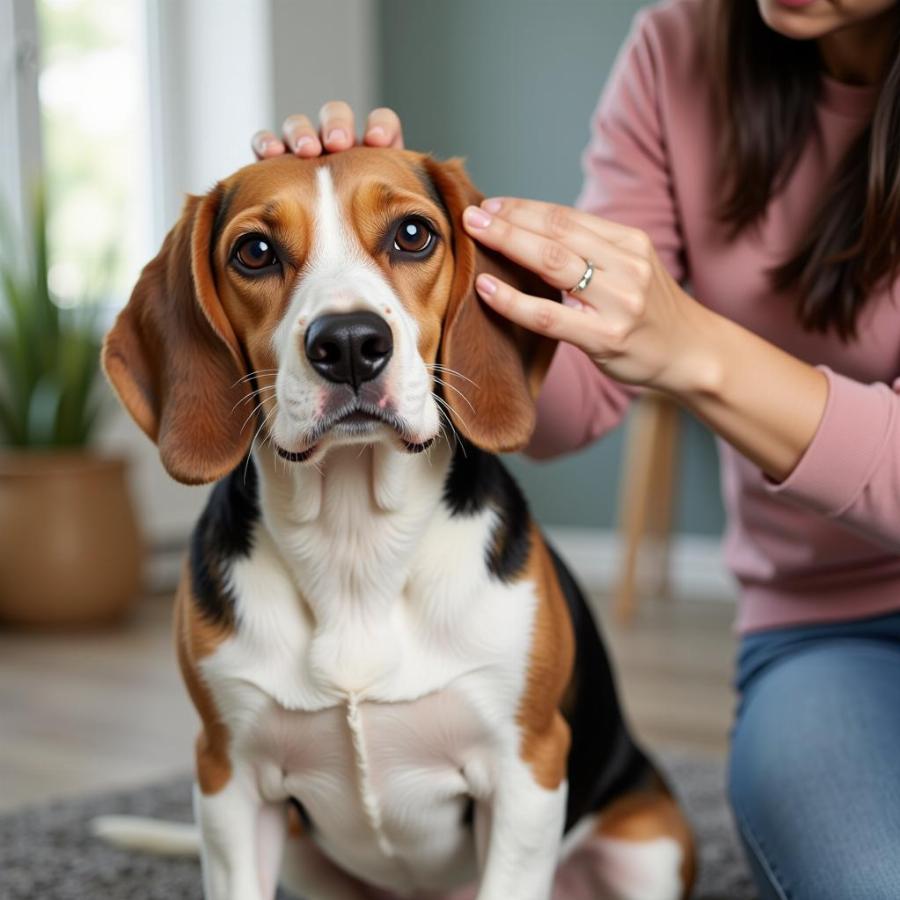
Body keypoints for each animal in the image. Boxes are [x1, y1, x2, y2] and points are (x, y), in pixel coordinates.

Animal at [102, 149, 700, 900]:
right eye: (255, 252)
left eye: (412, 235)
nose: (350, 343)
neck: (355, 541)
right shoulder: (227, 778)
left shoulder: (527, 770)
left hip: (651, 847)